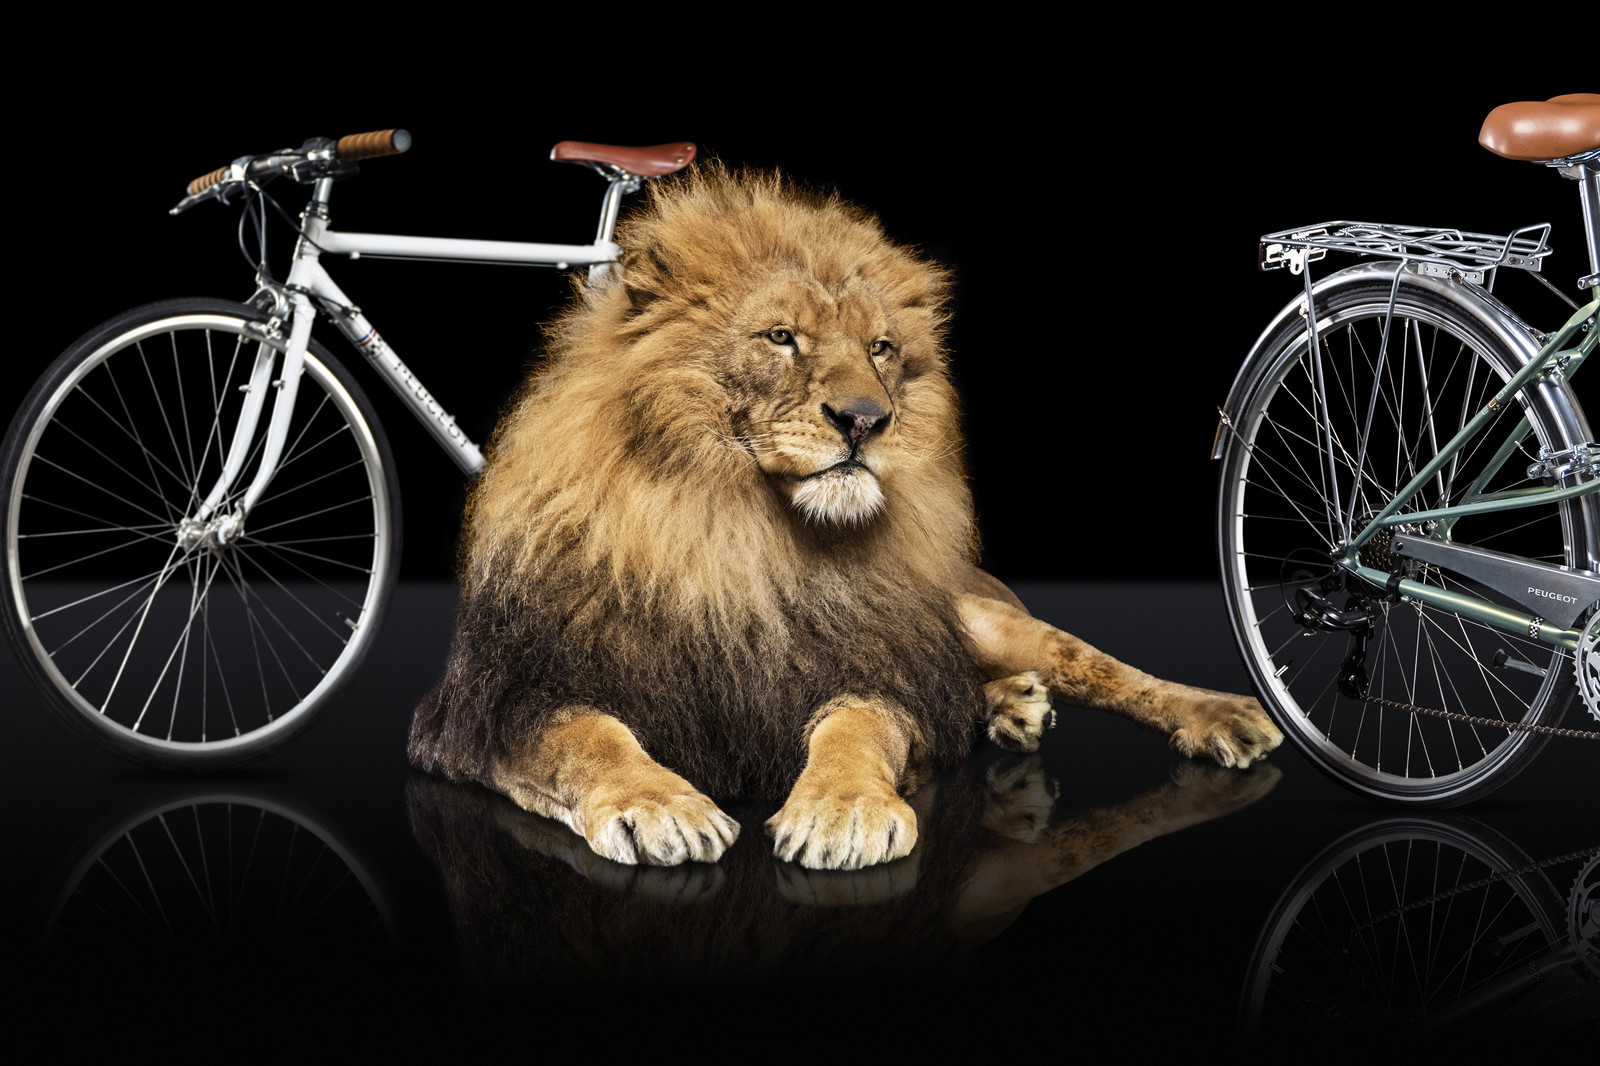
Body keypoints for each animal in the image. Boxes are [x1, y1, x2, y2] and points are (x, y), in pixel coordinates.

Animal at [408, 165, 1283, 871]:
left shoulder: (872, 664)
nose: (866, 418)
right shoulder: (491, 704)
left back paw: (1223, 714)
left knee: (1092, 664)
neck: (737, 539)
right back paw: (1009, 705)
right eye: (780, 337)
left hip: (982, 625)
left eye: (882, 348)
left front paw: (844, 811)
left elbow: (861, 727)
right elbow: (587, 738)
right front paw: (661, 805)